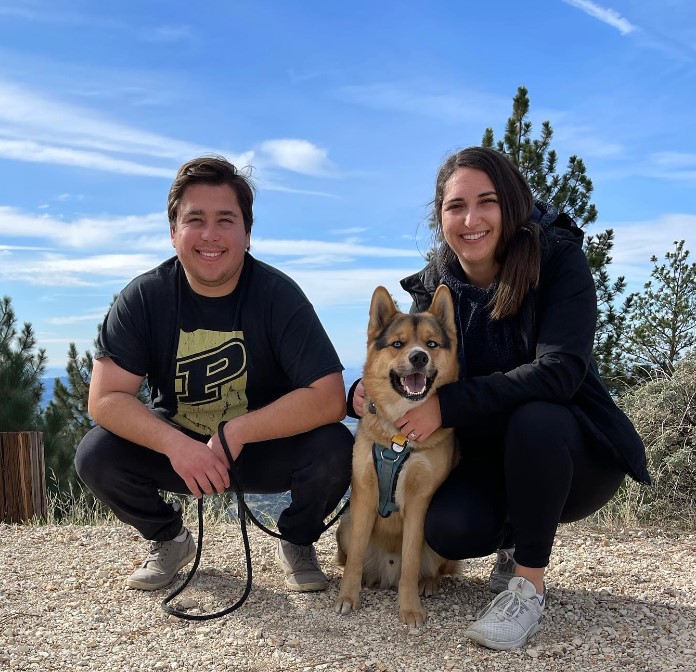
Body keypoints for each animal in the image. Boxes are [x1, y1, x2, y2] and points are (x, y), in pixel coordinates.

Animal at [334, 284, 460, 624]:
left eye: (431, 343)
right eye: (398, 344)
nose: (418, 356)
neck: (398, 436)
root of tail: (386, 573)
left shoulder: (420, 502)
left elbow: (411, 563)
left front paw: (410, 608)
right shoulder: (363, 495)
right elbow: (353, 560)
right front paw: (347, 597)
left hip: (437, 543)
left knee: (430, 569)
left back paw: (428, 583)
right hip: (345, 525)